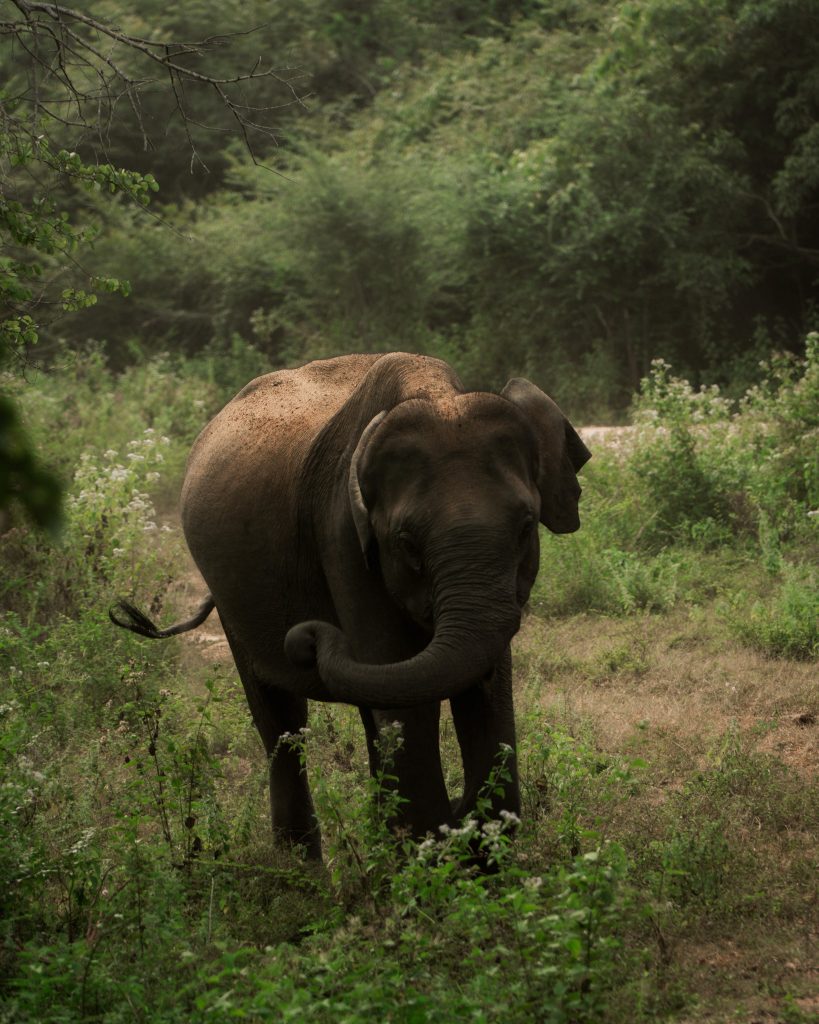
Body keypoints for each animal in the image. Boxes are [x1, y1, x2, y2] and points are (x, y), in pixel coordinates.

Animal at [110, 352, 590, 860]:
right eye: (407, 543)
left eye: (526, 527)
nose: (303, 638)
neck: (437, 393)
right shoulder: (341, 536)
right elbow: (405, 699)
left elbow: (484, 693)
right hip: (230, 598)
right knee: (281, 719)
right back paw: (301, 868)